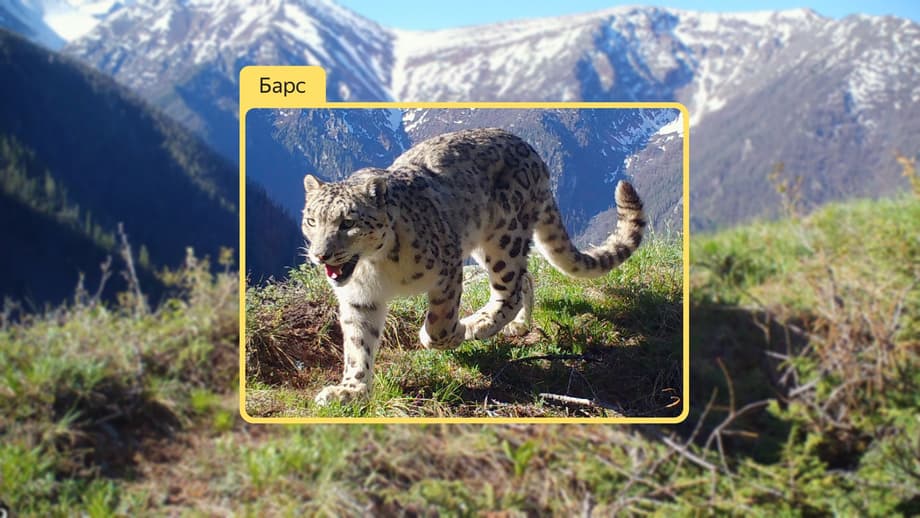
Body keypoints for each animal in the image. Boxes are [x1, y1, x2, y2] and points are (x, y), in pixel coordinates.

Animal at [301, 127, 646, 405]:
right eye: (312, 220)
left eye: (348, 222)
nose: (320, 255)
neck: (375, 268)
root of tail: (533, 152)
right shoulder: (360, 299)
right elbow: (358, 344)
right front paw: (351, 390)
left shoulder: (447, 266)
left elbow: (440, 323)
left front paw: (451, 334)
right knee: (526, 278)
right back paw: (519, 325)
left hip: (503, 239)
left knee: (510, 290)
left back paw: (479, 324)